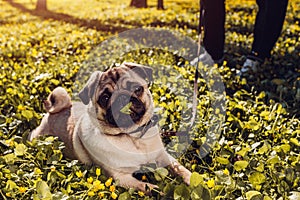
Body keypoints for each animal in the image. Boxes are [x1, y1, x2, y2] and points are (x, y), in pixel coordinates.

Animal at [28, 63, 192, 194]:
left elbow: (179, 168)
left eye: (137, 89)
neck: (132, 136)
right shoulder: (121, 177)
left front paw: (192, 179)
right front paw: (160, 193)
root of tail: (53, 112)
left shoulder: (163, 157)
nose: (122, 98)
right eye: (105, 98)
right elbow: (145, 187)